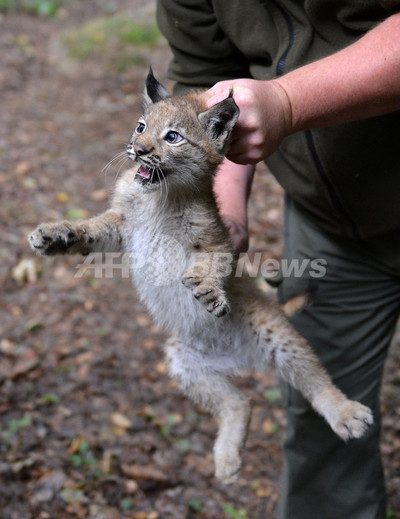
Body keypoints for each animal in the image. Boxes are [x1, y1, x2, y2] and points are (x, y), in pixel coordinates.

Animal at [29, 71, 374, 486]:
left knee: (315, 378)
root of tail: (239, 358)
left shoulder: (217, 240)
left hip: (274, 333)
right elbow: (88, 229)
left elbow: (209, 265)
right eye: (141, 127)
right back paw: (226, 458)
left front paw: (209, 291)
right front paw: (55, 234)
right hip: (185, 362)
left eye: (172, 137)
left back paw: (344, 412)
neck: (160, 196)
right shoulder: (119, 226)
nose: (137, 150)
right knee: (240, 403)